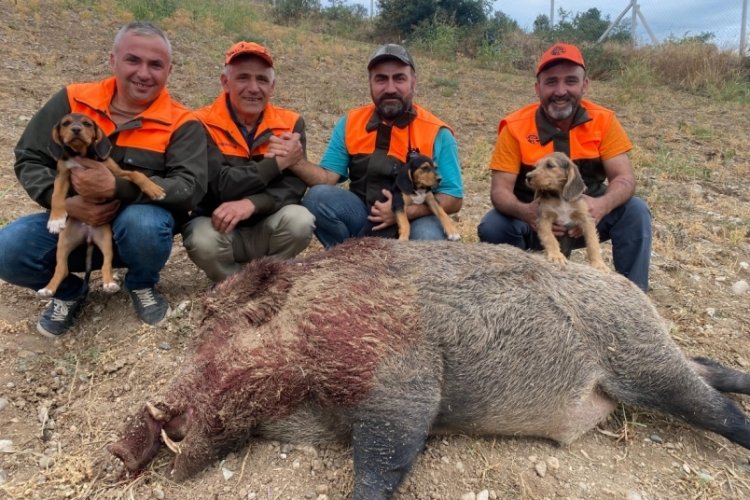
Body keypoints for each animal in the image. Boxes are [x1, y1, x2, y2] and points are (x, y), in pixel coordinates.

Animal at [39, 113, 167, 298]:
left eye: (87, 123)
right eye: (65, 123)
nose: (76, 129)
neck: (82, 154)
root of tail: (88, 235)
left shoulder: (116, 173)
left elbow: (137, 174)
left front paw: (153, 189)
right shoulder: (62, 176)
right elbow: (56, 195)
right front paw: (55, 220)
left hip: (106, 239)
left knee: (105, 264)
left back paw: (109, 284)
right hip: (64, 242)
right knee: (62, 269)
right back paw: (48, 289)